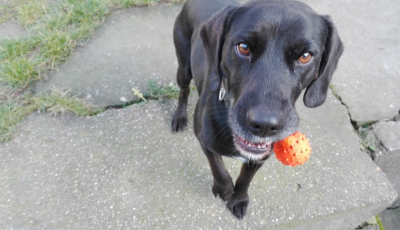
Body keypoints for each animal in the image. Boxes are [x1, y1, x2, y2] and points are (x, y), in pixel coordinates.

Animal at [170, 0, 342, 219]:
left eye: (305, 56)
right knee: (183, 90)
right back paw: (179, 117)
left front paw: (238, 199)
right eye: (243, 47)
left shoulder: (260, 156)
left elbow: (245, 179)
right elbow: (219, 169)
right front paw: (224, 190)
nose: (265, 125)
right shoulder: (204, 140)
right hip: (184, 66)